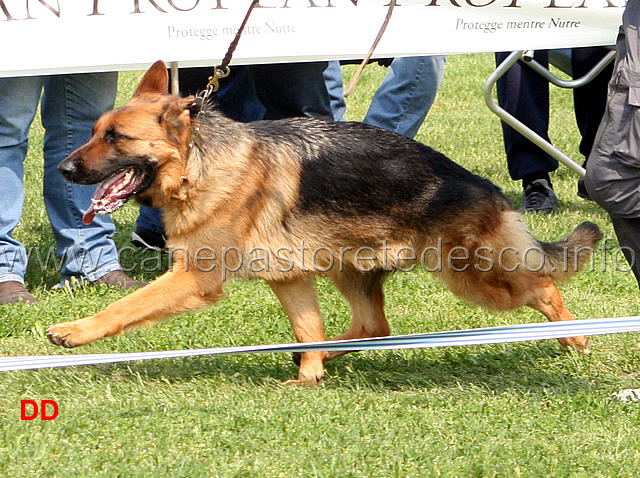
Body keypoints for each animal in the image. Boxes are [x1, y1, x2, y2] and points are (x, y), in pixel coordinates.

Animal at [48, 62, 600, 384]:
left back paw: (575, 337)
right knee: (373, 326)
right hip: (347, 267)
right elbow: (307, 326)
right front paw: (311, 374)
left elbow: (126, 305)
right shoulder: (290, 276)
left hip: (474, 276)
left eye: (116, 138)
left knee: (544, 285)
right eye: (95, 132)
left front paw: (76, 330)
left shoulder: (194, 277)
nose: (63, 170)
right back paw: (324, 357)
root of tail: (481, 186)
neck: (198, 165)